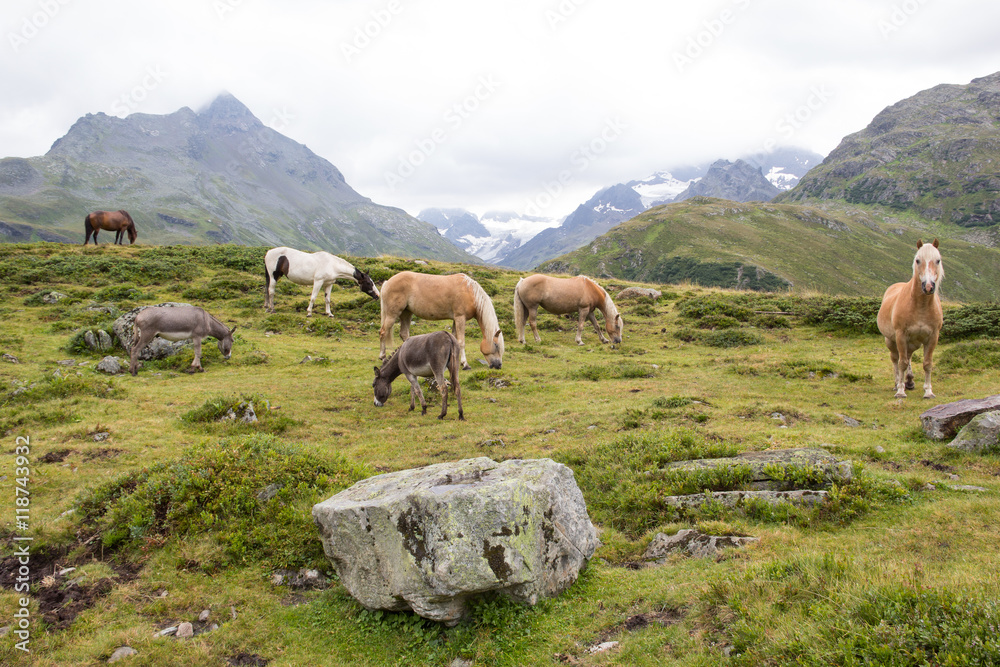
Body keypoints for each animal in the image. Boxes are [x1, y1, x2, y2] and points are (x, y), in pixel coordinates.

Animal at [876, 239, 944, 399]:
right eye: (918, 260)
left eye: (938, 260)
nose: (928, 287)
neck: (920, 306)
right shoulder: (901, 335)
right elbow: (901, 362)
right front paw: (901, 391)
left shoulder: (933, 337)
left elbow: (927, 364)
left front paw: (928, 391)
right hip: (890, 340)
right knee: (896, 358)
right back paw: (897, 384)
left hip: (914, 342)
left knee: (909, 356)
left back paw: (910, 381)